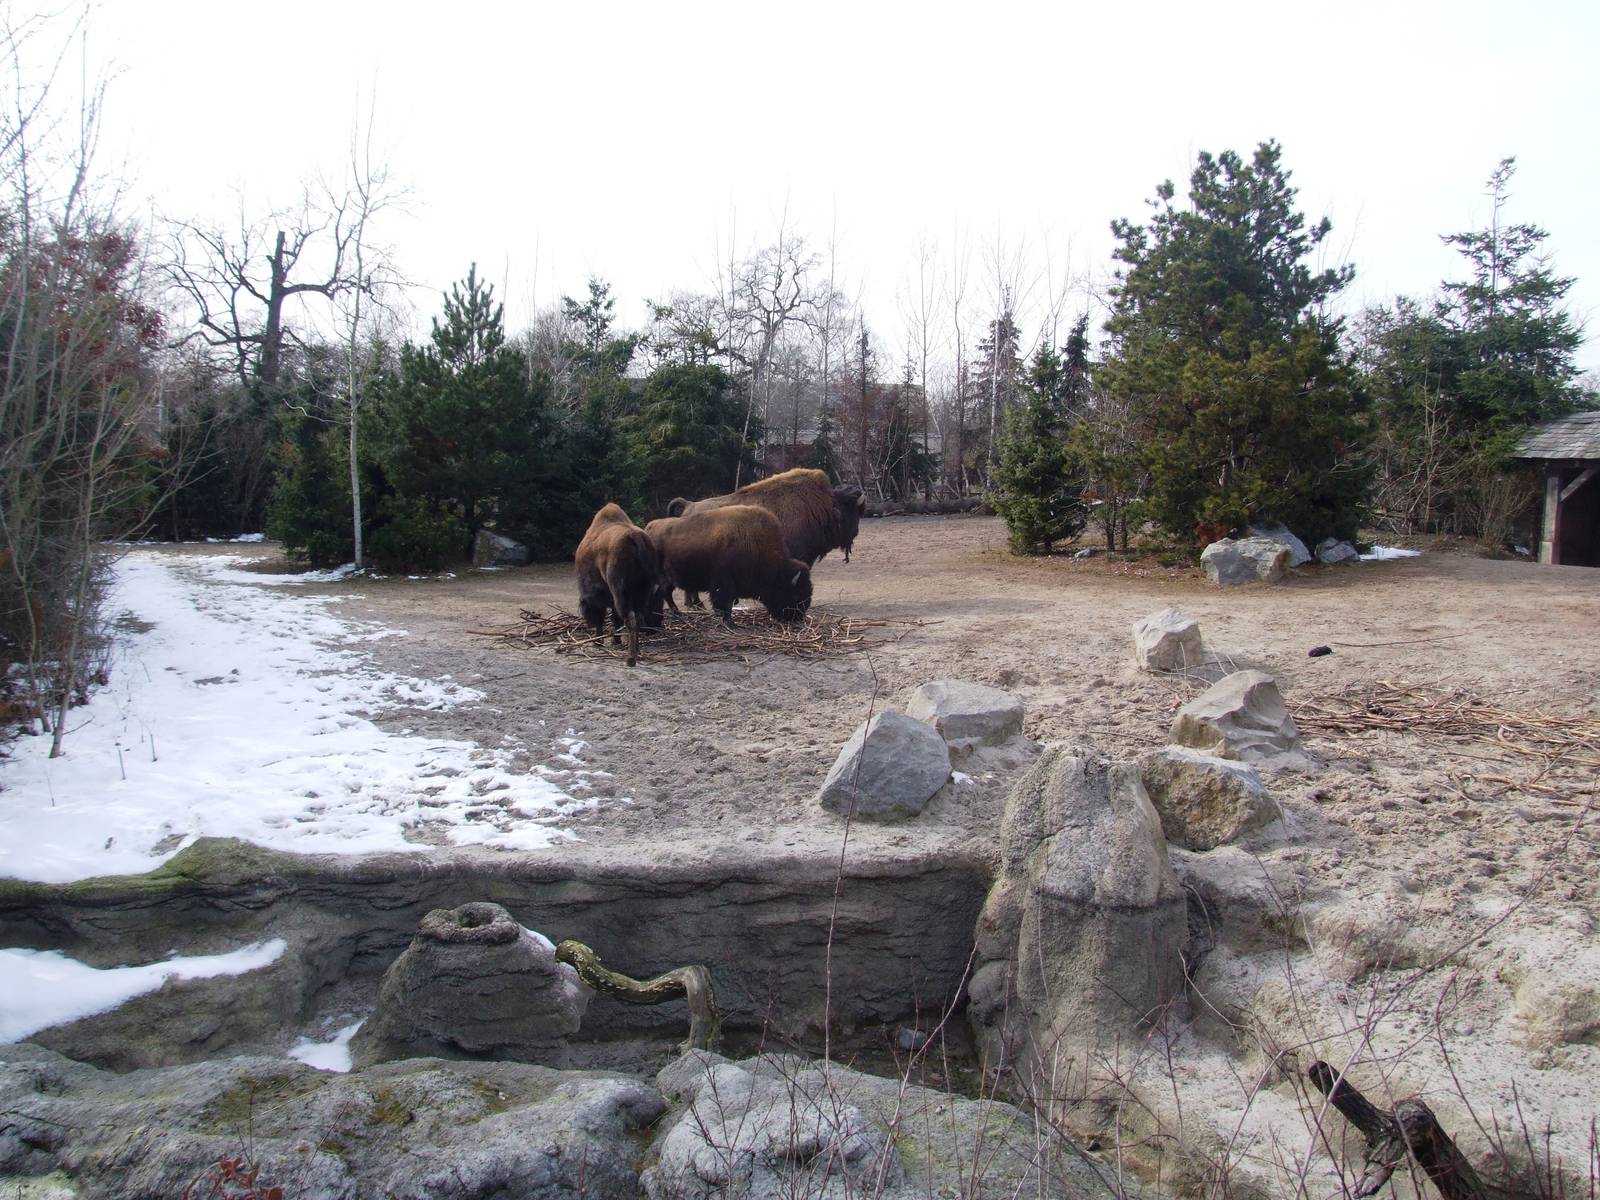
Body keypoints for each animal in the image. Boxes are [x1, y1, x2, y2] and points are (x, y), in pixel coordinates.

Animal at [574, 503, 664, 667]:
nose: (588, 623)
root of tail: (634, 536)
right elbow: (615, 618)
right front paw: (615, 641)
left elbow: (603, 617)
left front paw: (598, 642)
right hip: (642, 591)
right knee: (638, 617)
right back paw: (637, 652)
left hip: (621, 592)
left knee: (630, 619)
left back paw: (630, 659)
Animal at [647, 505, 812, 627]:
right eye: (796, 594)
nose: (797, 618)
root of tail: (649, 528)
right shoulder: (724, 584)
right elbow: (725, 603)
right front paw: (729, 622)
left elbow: (730, 603)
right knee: (665, 593)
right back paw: (675, 613)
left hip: (670, 579)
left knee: (666, 593)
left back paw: (676, 613)